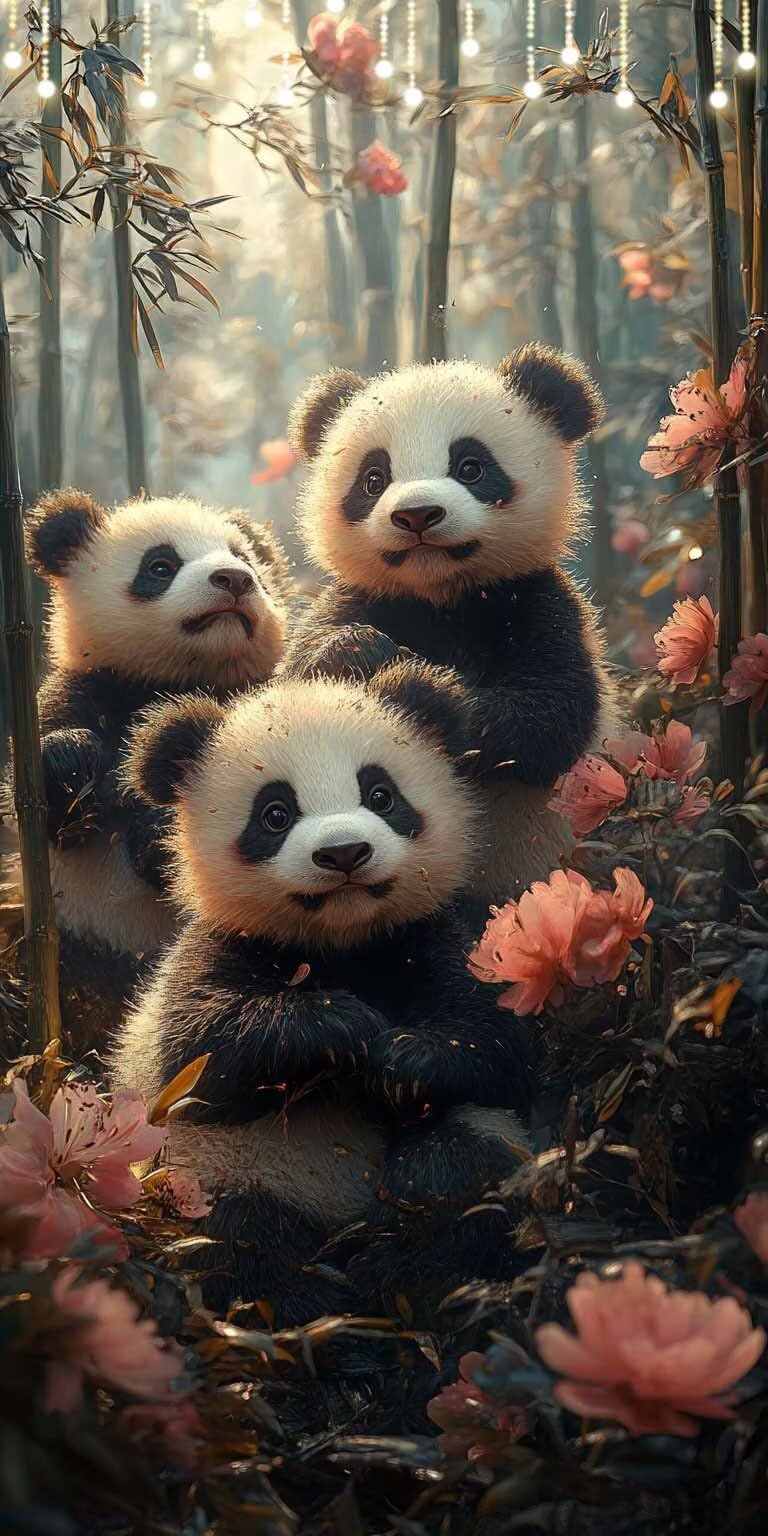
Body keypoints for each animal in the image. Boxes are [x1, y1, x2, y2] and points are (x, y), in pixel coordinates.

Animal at [26, 489, 292, 1034]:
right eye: (161, 565)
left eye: (245, 557)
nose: (234, 579)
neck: (178, 678)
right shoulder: (84, 688)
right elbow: (46, 811)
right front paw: (71, 761)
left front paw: (156, 833)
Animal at [110, 663, 533, 1324]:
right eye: (275, 813)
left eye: (380, 795)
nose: (343, 853)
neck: (341, 941)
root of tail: (337, 1222)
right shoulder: (219, 947)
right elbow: (198, 1053)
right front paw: (341, 1027)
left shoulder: (430, 936)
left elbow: (497, 1041)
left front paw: (399, 1057)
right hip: (209, 1171)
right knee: (238, 1240)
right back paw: (314, 1310)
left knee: (458, 1177)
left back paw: (397, 1272)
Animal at [281, 343, 618, 916]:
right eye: (374, 479)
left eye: (471, 467)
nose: (417, 514)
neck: (438, 596)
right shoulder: (359, 596)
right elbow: (291, 686)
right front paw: (355, 653)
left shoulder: (538, 600)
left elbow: (555, 715)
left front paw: (420, 689)